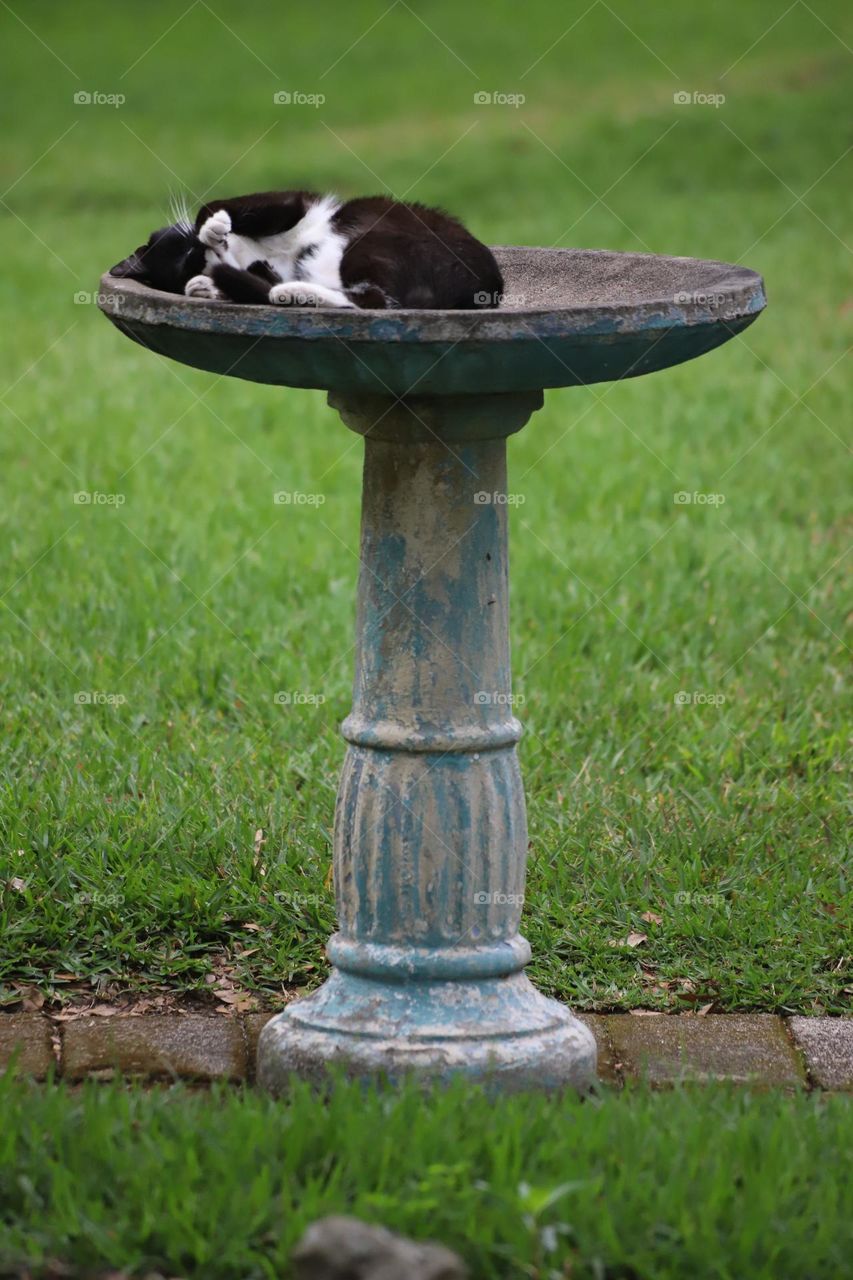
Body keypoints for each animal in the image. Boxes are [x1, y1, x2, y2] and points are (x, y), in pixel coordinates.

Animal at [109, 189, 502, 309]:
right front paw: (205, 285)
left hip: (372, 239)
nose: (211, 248)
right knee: (374, 301)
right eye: (190, 260)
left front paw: (212, 226)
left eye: (190, 250)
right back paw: (291, 292)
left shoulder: (294, 204)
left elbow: (211, 206)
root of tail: (487, 288)